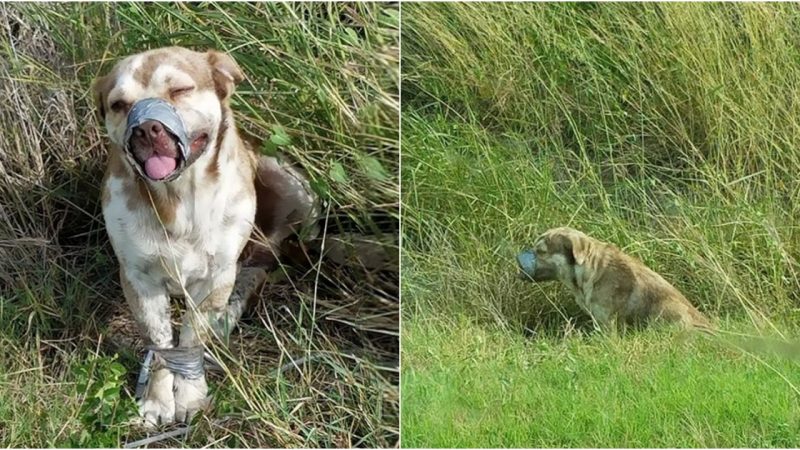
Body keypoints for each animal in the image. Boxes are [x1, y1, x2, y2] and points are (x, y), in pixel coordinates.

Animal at [92, 47, 318, 428]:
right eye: (119, 104)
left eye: (181, 90)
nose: (147, 128)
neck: (178, 200)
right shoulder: (139, 279)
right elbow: (162, 343)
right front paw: (156, 399)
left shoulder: (215, 276)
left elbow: (190, 337)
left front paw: (190, 395)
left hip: (293, 187)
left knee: (261, 264)